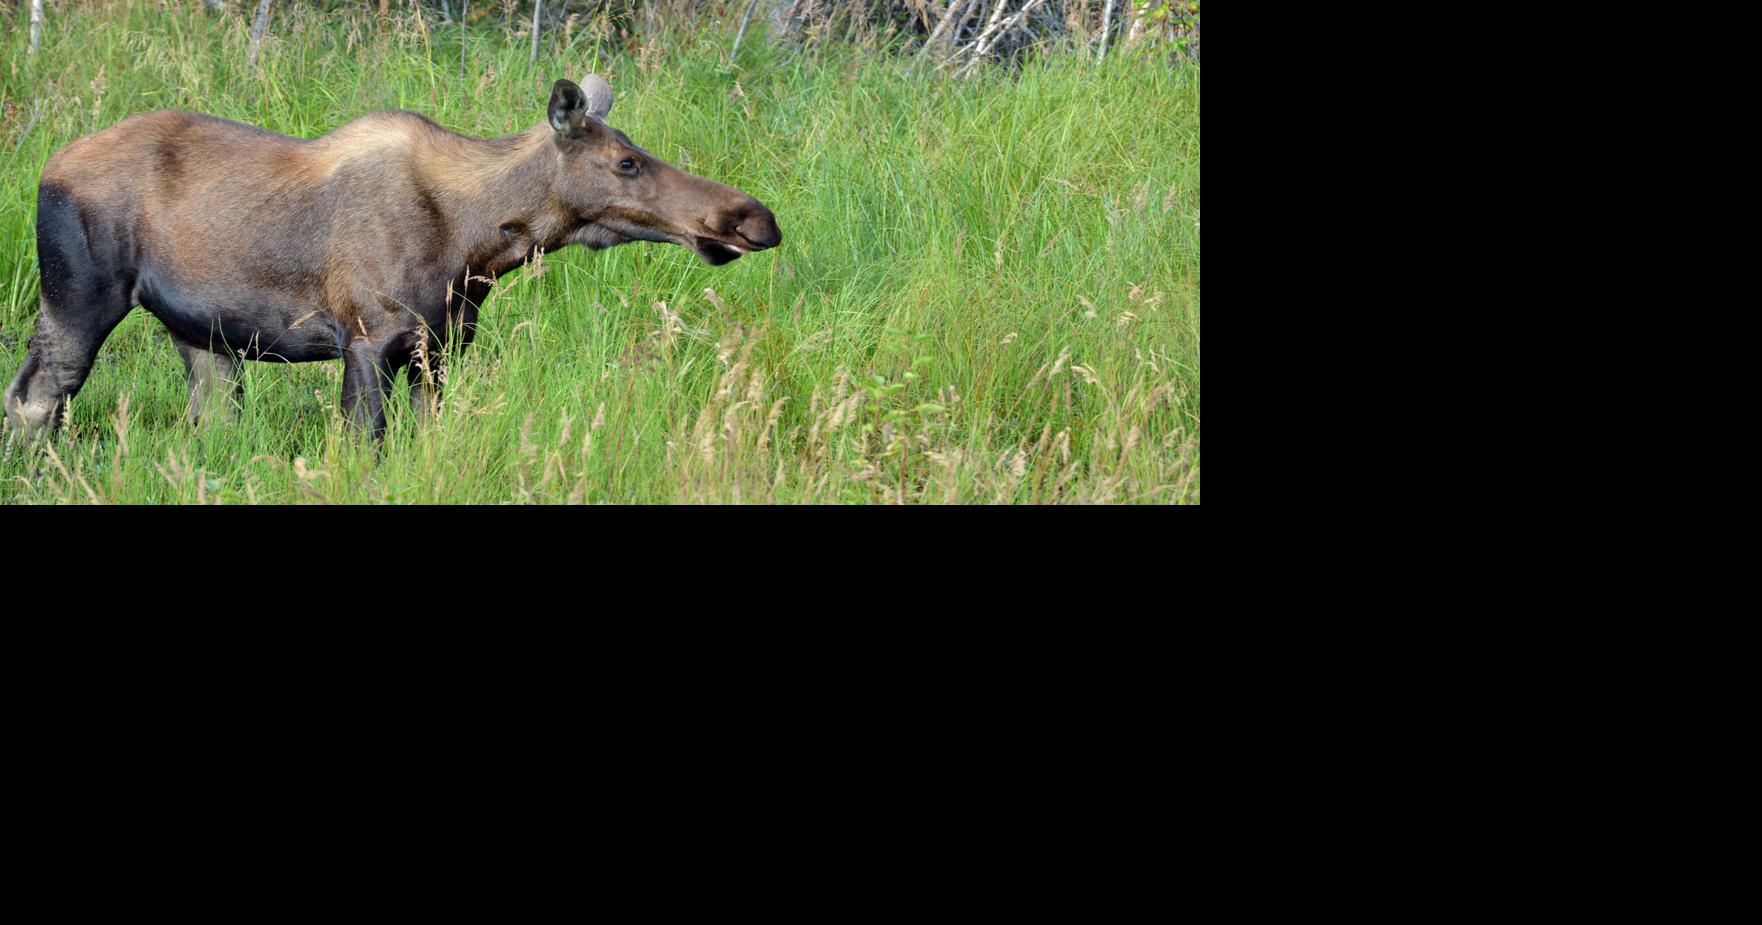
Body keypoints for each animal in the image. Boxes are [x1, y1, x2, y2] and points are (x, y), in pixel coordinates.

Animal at [4, 75, 781, 441]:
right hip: (78, 298)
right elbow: (365, 444)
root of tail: (47, 165)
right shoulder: (368, 338)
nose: (754, 219)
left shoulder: (439, 351)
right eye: (625, 162)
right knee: (35, 399)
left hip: (204, 338)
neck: (480, 246)